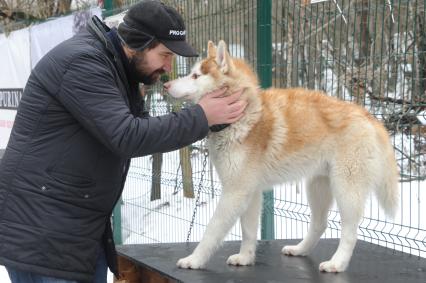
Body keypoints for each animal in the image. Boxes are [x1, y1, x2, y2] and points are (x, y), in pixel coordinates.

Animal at [164, 41, 400, 274]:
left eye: (196, 76)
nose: (166, 85)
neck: (244, 116)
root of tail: (368, 116)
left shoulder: (235, 193)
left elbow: (212, 231)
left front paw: (194, 260)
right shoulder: (249, 192)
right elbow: (248, 230)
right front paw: (245, 257)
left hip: (346, 190)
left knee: (350, 231)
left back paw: (337, 263)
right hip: (317, 187)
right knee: (320, 223)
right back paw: (300, 250)